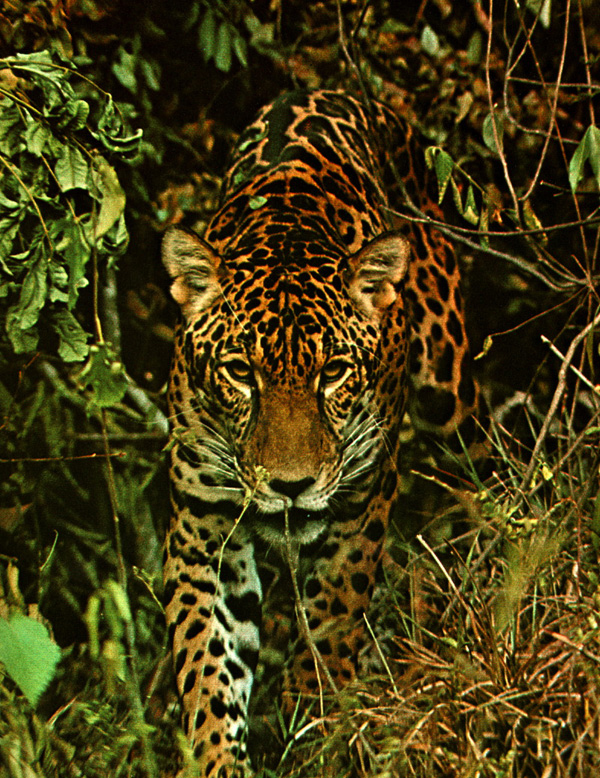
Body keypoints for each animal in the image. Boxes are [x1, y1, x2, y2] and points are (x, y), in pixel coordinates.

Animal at [161, 89, 479, 777]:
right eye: (240, 372)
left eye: (332, 372)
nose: (291, 485)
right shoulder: (203, 521)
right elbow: (207, 662)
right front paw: (216, 756)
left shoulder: (360, 505)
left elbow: (331, 630)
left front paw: (318, 730)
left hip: (447, 390)